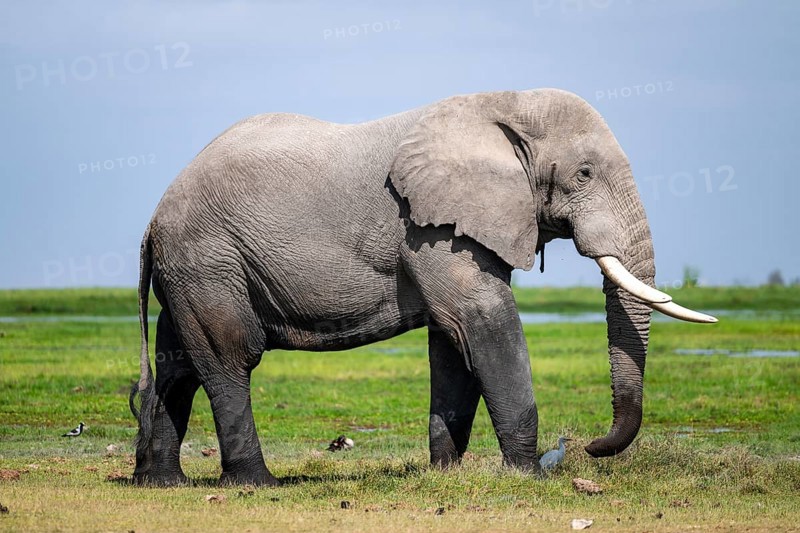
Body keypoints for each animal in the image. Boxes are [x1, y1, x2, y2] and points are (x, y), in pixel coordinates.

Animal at [130, 88, 716, 486]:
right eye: (585, 173)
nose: (592, 446)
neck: (501, 103)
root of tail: (153, 219)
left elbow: (453, 341)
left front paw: (446, 475)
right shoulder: (431, 226)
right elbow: (481, 319)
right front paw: (528, 476)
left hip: (191, 270)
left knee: (178, 362)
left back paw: (162, 483)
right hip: (209, 258)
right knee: (229, 357)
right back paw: (256, 483)